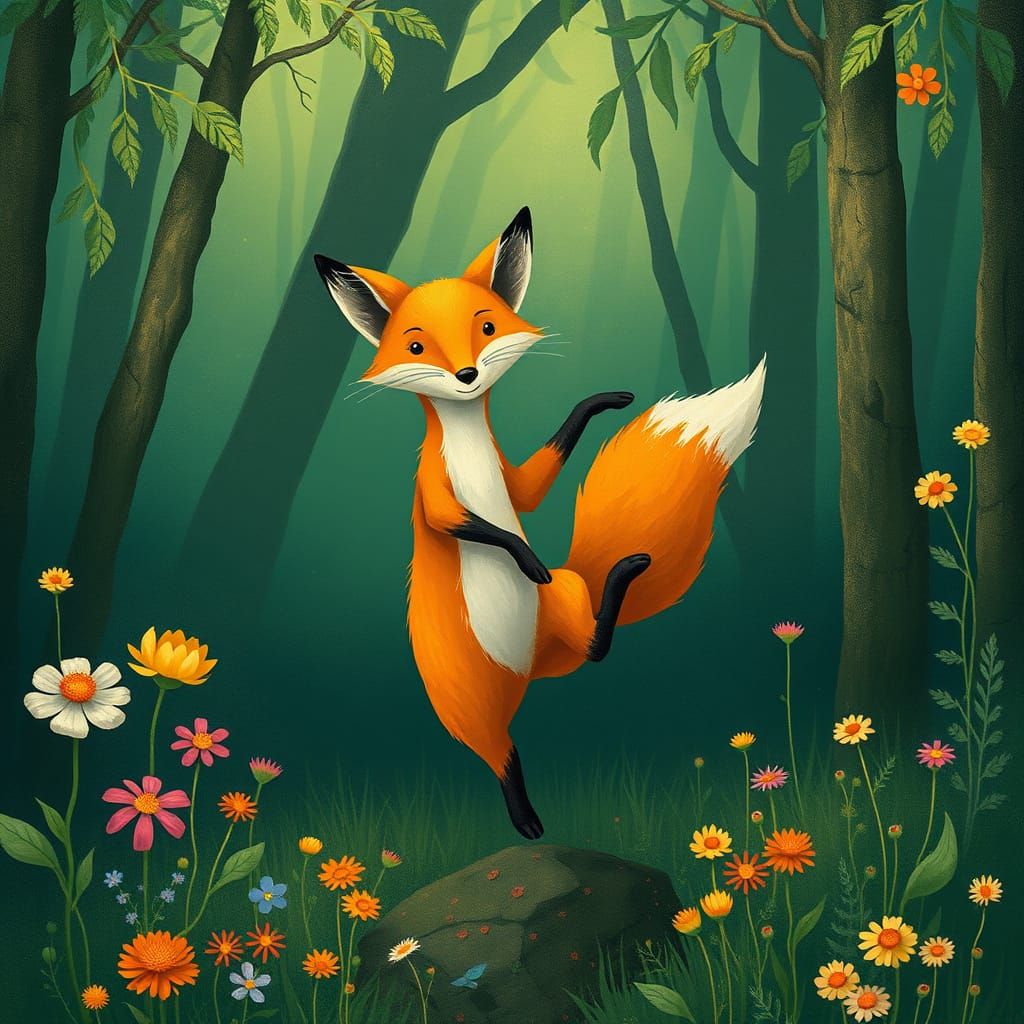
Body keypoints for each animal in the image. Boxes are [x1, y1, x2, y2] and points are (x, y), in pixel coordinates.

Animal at [314, 207, 765, 839]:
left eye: (485, 328)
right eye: (417, 345)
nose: (467, 374)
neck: (470, 450)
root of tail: (529, 675)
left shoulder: (512, 480)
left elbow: (533, 486)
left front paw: (599, 402)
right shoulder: (433, 497)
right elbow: (477, 526)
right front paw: (525, 560)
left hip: (569, 599)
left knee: (596, 645)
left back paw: (627, 569)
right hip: (470, 707)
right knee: (504, 758)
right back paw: (526, 821)